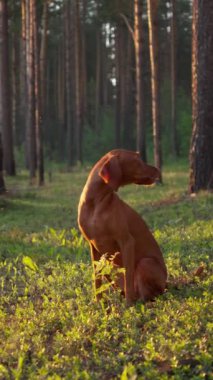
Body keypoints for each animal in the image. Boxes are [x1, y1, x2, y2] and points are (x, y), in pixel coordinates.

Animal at [77, 150, 167, 304]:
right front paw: (98, 302)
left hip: (145, 263)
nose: (158, 170)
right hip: (109, 267)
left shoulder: (127, 241)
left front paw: (129, 304)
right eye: (138, 160)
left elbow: (129, 275)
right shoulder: (92, 246)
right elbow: (96, 279)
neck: (96, 202)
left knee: (149, 295)